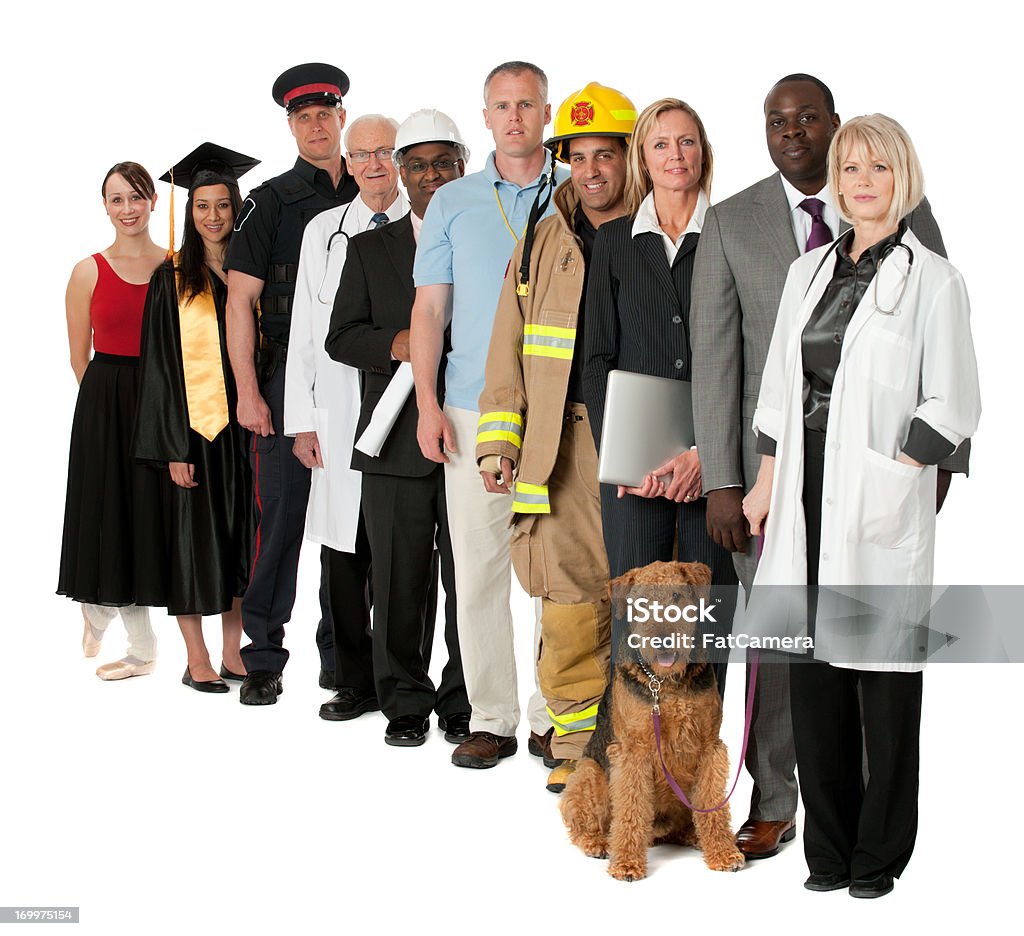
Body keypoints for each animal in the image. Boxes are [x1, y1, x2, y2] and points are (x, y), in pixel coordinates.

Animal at [561, 557, 745, 880]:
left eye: (676, 595)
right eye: (641, 603)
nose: (663, 641)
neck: (664, 683)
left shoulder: (710, 746)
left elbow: (712, 804)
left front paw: (724, 853)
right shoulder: (632, 752)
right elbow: (631, 809)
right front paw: (626, 864)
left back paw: (693, 836)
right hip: (589, 774)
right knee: (583, 819)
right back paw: (599, 843)